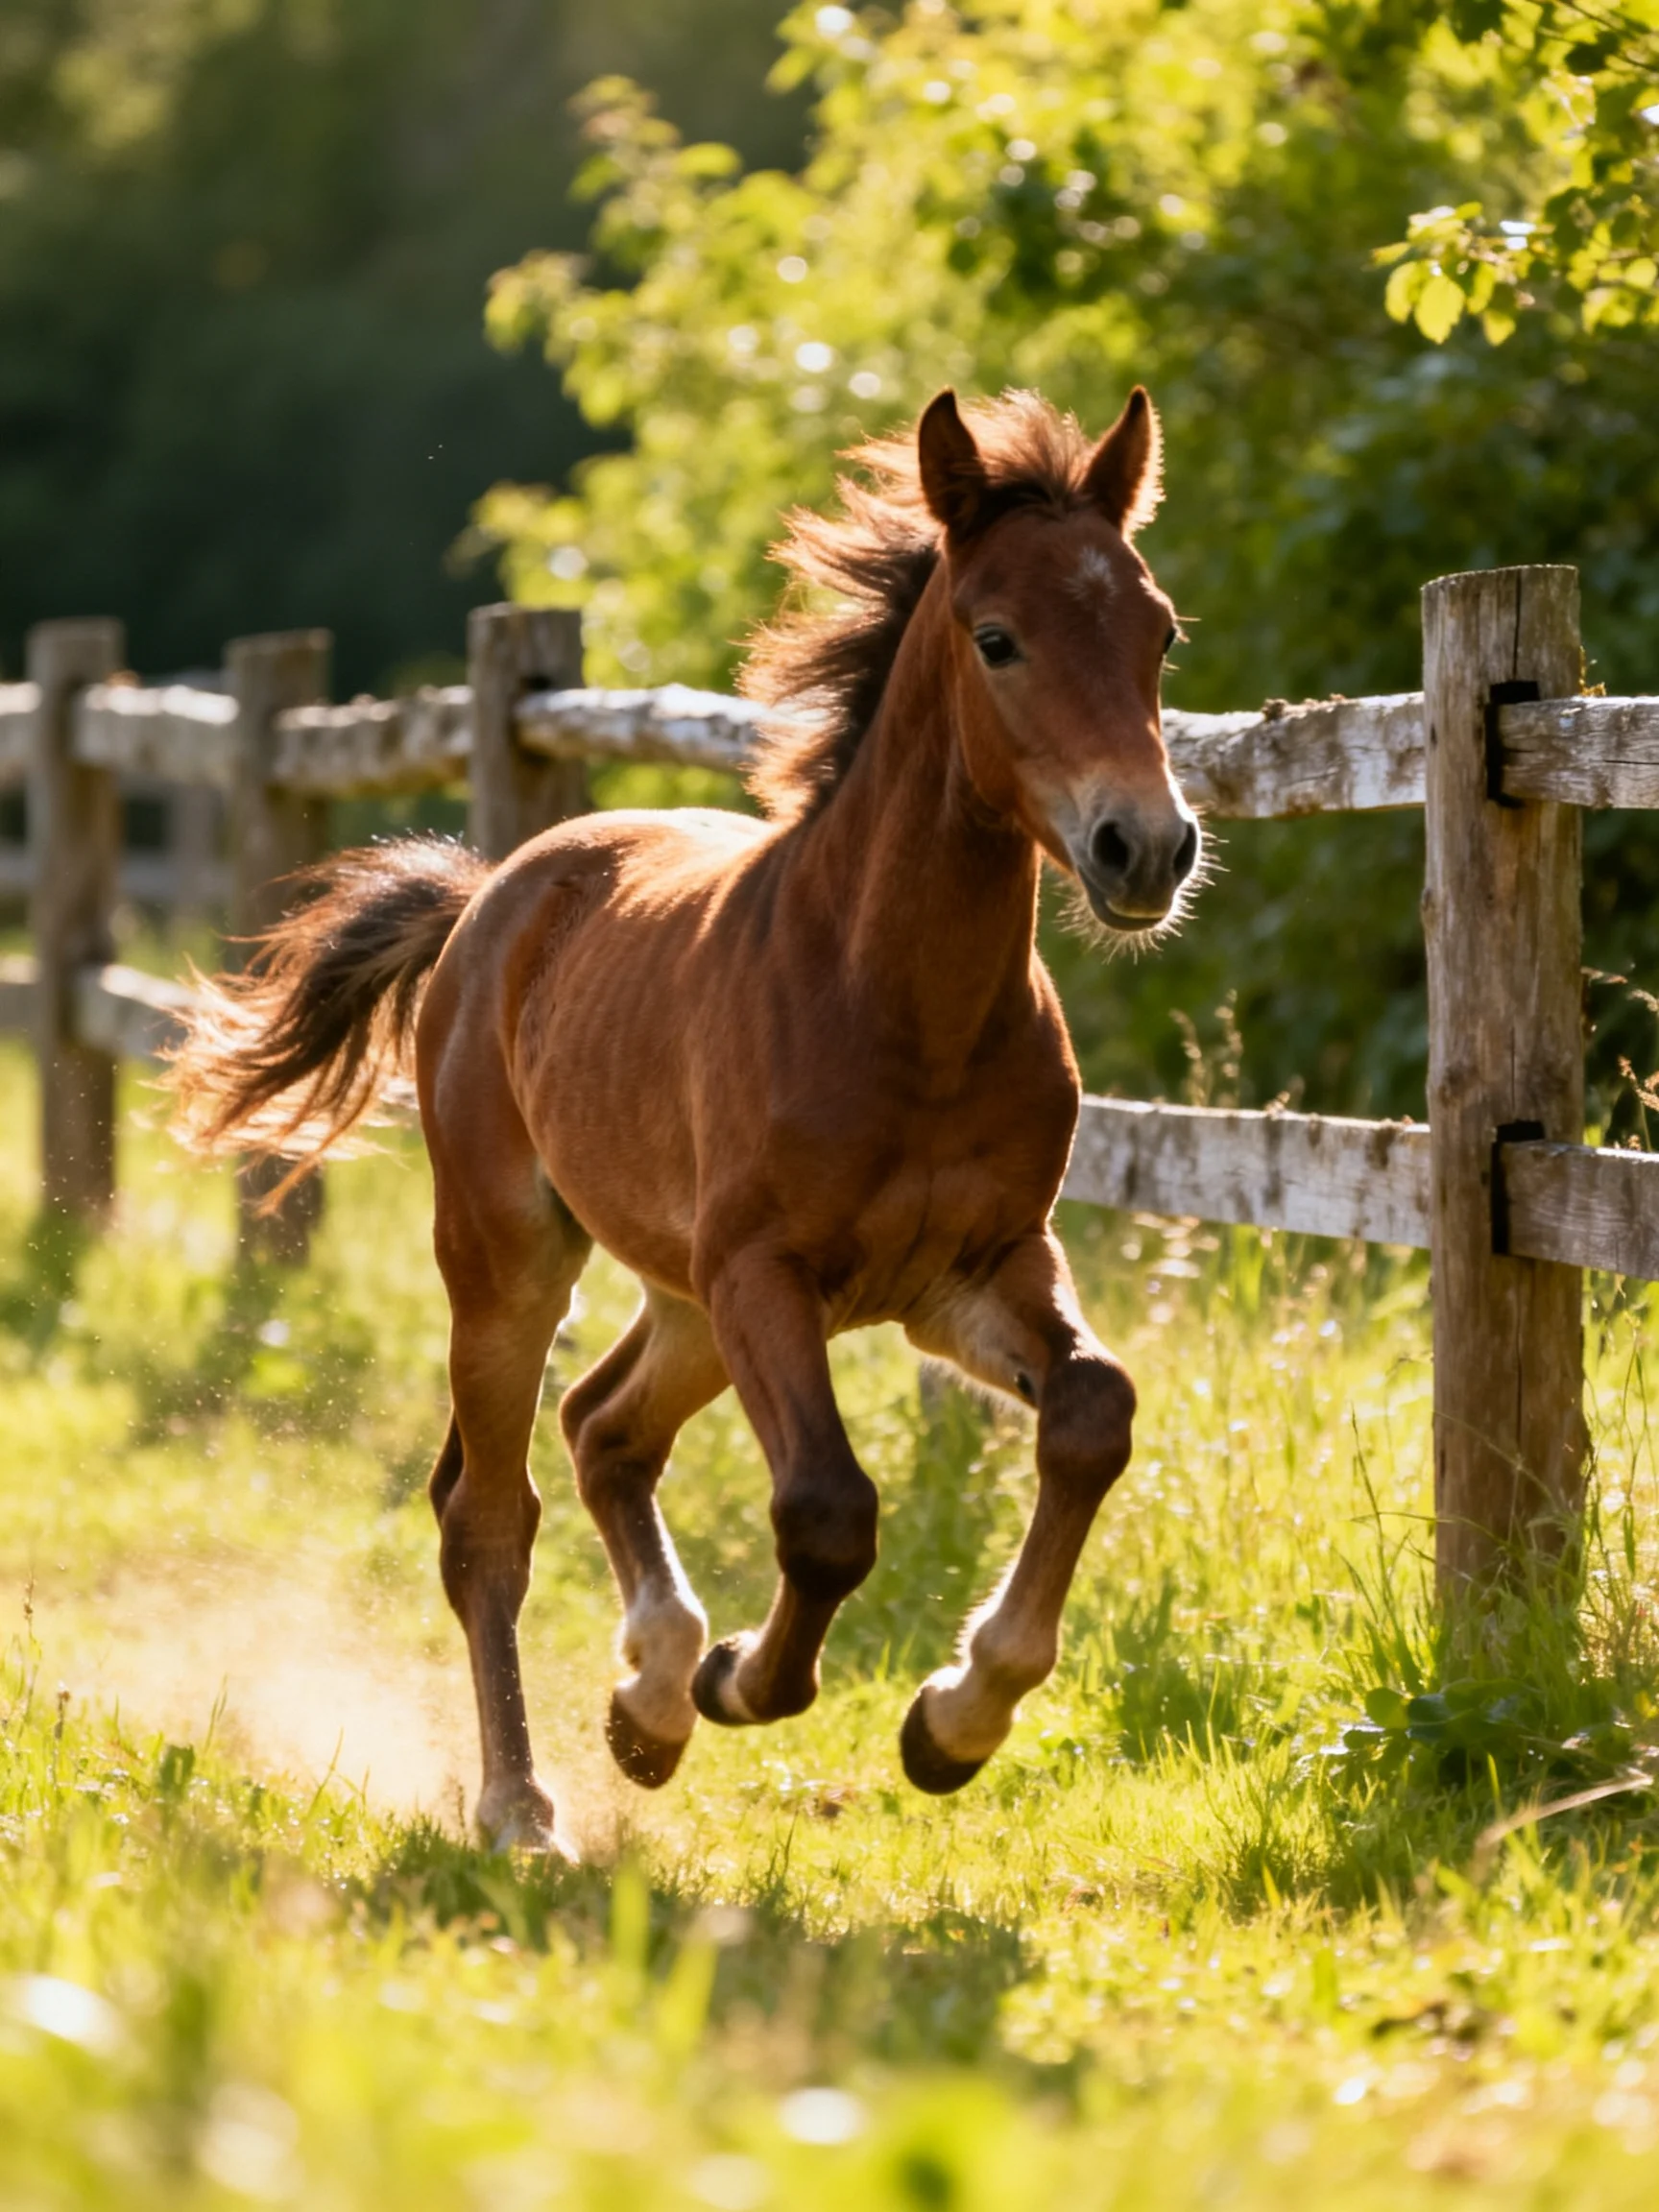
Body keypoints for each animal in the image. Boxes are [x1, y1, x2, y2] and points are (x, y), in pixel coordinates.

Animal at [168, 386, 1202, 1856]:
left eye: (1159, 631)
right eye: (996, 637)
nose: (1146, 849)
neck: (898, 1005)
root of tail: (492, 893)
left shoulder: (975, 1270)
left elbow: (1093, 1415)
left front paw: (952, 1719)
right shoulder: (768, 1271)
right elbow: (827, 1510)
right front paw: (741, 1682)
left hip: (687, 1301)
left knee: (605, 1427)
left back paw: (643, 1707)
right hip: (518, 1262)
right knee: (490, 1511)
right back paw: (524, 1801)